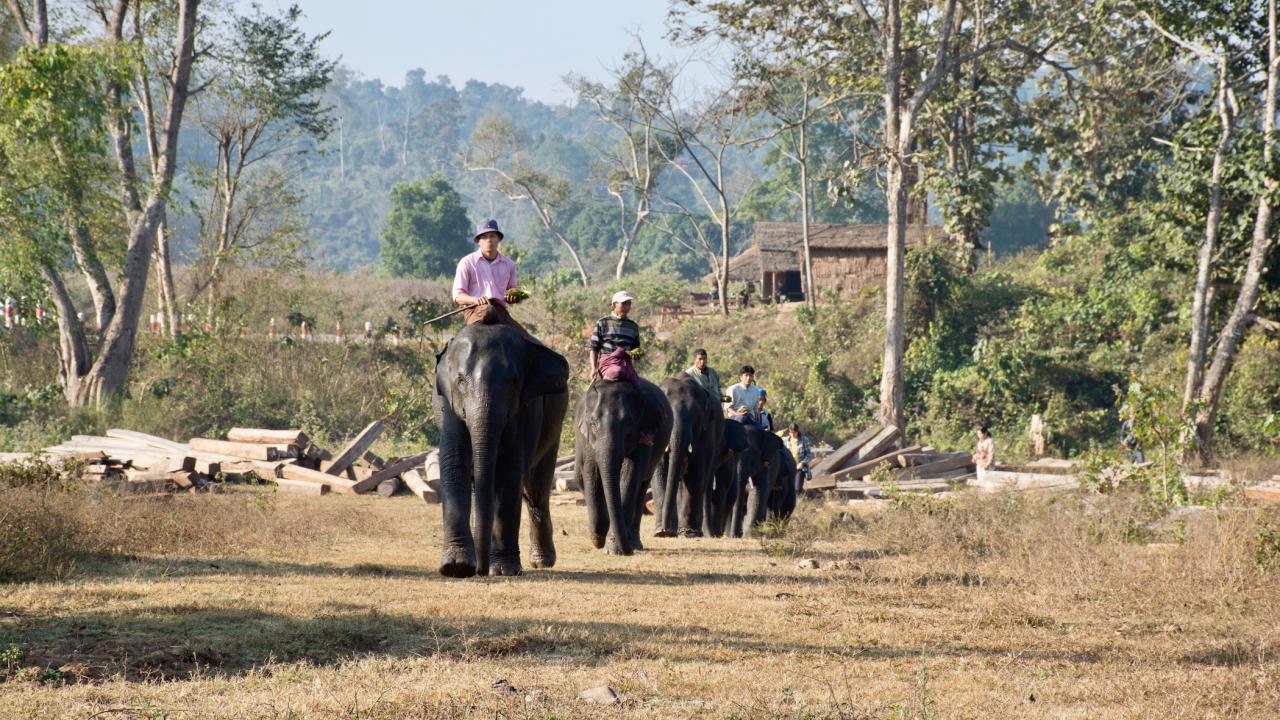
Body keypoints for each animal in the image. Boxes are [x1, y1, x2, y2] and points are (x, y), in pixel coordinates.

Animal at [432, 319, 568, 576]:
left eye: (513, 382)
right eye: (461, 381)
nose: (481, 571)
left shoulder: (527, 409)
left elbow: (509, 473)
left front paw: (504, 570)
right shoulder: (449, 406)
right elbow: (454, 464)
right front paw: (457, 567)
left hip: (554, 426)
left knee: (536, 489)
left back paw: (541, 561)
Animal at [570, 376, 670, 556]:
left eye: (629, 424)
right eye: (593, 423)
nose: (628, 551)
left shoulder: (643, 435)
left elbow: (629, 477)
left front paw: (613, 549)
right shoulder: (587, 440)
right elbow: (591, 473)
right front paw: (597, 539)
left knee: (641, 488)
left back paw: (635, 544)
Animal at [650, 371, 721, 535]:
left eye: (696, 417)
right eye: (665, 414)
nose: (665, 529)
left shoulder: (706, 431)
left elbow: (696, 470)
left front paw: (689, 533)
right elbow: (659, 468)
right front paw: (661, 532)